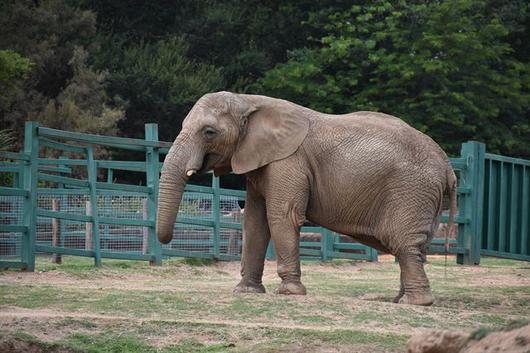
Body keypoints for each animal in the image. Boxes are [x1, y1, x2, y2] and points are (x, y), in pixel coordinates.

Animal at [156, 91, 454, 306]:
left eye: (209, 132)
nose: (168, 240)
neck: (249, 101)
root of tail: (447, 166)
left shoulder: (288, 161)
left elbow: (281, 216)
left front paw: (289, 293)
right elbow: (254, 222)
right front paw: (246, 292)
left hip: (411, 190)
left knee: (404, 243)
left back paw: (414, 303)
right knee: (417, 246)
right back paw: (400, 300)